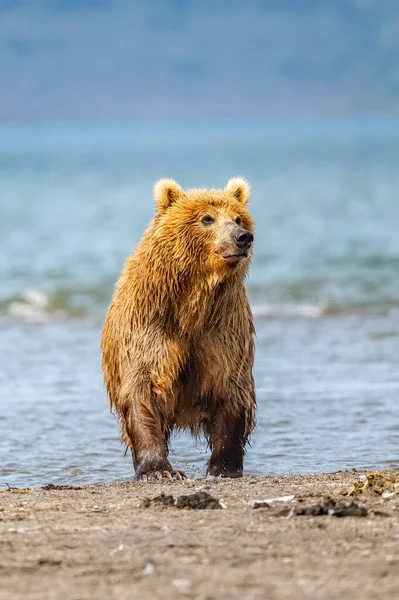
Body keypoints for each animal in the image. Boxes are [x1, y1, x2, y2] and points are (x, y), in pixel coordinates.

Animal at [101, 179, 256, 482]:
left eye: (238, 218)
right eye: (207, 218)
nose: (243, 237)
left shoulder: (223, 329)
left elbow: (230, 389)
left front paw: (224, 468)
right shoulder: (149, 327)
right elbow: (142, 390)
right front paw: (159, 470)